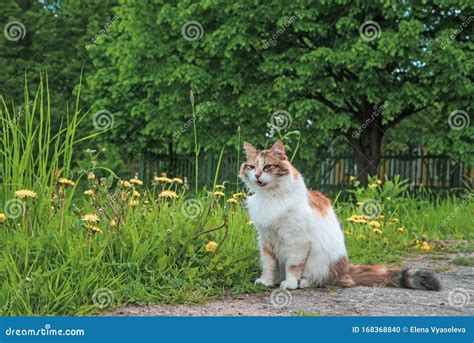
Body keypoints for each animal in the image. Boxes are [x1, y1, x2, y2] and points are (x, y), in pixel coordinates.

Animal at [241, 141, 440, 292]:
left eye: (268, 166)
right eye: (252, 167)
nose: (257, 175)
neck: (270, 197)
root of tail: (345, 269)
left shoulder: (297, 240)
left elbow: (293, 266)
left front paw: (289, 284)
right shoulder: (266, 239)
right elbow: (269, 265)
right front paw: (266, 281)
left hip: (320, 262)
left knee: (323, 279)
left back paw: (303, 283)